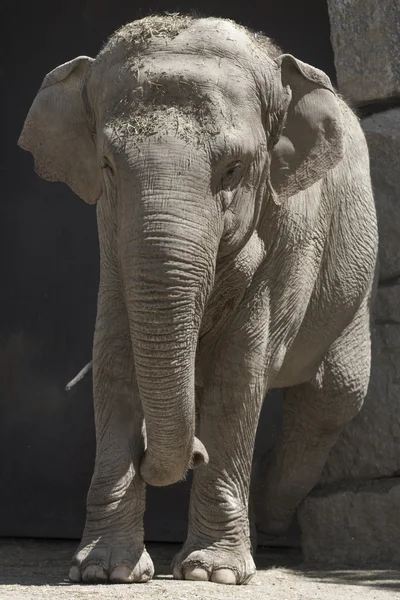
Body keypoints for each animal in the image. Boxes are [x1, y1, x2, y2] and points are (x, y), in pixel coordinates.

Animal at [18, 12, 378, 584]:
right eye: (107, 166)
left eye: (233, 169)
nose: (192, 454)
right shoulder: (112, 240)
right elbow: (114, 359)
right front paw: (103, 572)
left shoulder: (290, 237)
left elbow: (240, 373)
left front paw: (215, 574)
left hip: (351, 280)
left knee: (334, 395)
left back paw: (270, 518)